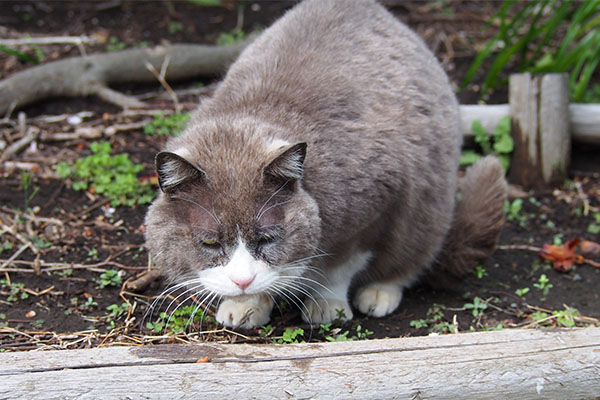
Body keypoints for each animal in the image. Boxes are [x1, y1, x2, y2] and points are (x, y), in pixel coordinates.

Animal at [144, 0, 506, 328]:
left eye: (268, 238)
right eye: (209, 242)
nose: (242, 281)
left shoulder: (377, 205)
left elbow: (338, 266)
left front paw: (326, 304)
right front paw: (245, 304)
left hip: (429, 206)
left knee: (412, 255)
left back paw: (380, 292)